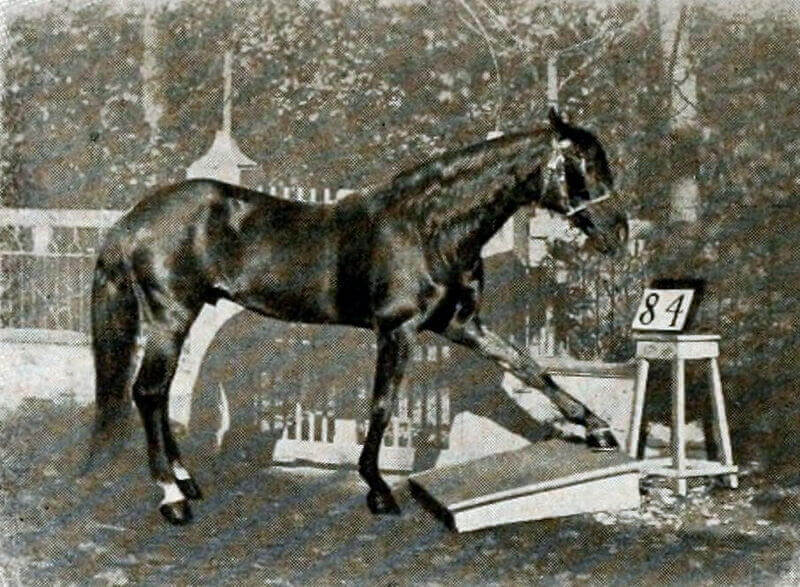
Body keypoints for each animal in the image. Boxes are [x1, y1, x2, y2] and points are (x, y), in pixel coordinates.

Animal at [88, 108, 629, 525]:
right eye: (581, 163)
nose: (617, 232)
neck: (427, 229)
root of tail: (133, 221)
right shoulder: (397, 329)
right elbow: (382, 405)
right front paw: (378, 489)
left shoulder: (461, 325)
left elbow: (530, 368)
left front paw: (598, 428)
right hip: (171, 316)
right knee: (148, 392)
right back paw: (172, 497)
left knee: (158, 395)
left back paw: (185, 480)